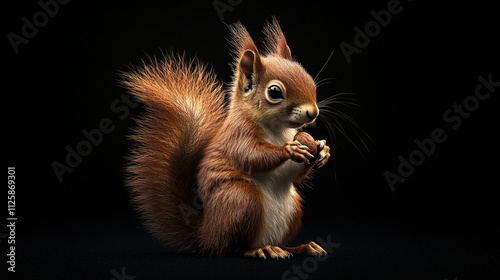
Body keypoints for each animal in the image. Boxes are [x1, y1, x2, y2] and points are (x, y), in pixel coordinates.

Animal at [120, 19, 330, 260]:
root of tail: (207, 235)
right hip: (240, 200)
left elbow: (293, 173)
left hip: (292, 207)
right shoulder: (236, 135)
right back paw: (260, 249)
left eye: (309, 80)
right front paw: (289, 150)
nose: (312, 113)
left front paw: (322, 149)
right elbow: (250, 157)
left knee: (276, 244)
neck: (277, 130)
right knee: (233, 247)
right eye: (275, 92)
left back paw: (298, 247)